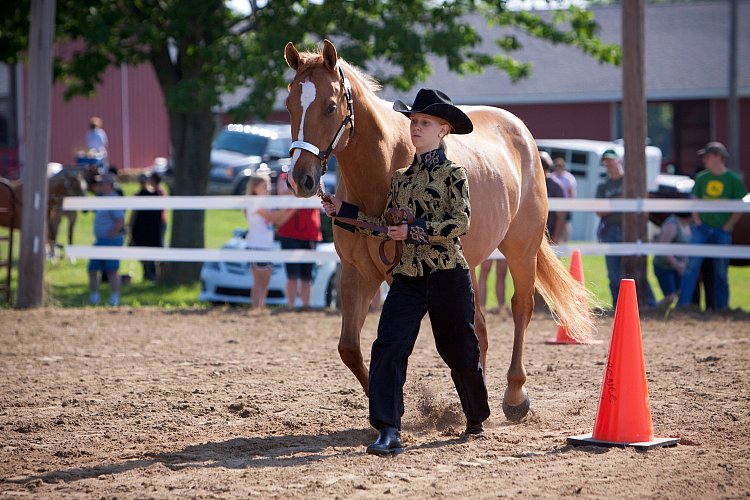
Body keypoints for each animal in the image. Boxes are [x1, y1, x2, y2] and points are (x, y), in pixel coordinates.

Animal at [284, 40, 596, 422]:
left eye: (330, 106)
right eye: (289, 104)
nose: (300, 179)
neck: (383, 169)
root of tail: (519, 130)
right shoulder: (357, 273)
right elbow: (350, 349)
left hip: (522, 248)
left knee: (520, 307)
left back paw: (514, 396)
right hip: (468, 265)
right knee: (479, 330)